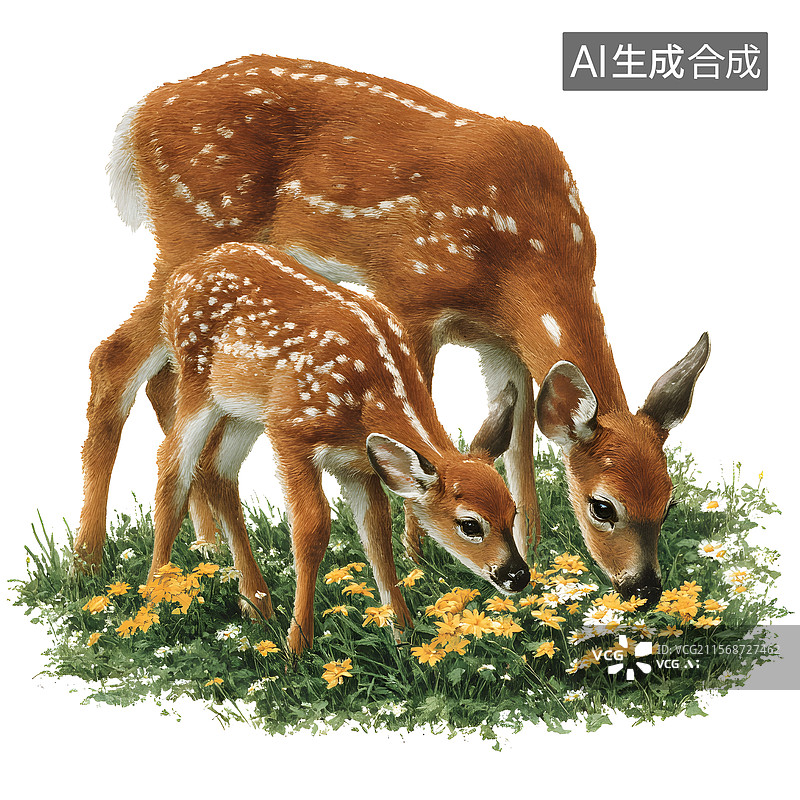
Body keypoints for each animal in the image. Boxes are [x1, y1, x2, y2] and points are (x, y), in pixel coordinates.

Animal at [74, 53, 709, 608]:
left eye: (668, 503)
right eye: (604, 506)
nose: (644, 588)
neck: (523, 252)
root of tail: (135, 118)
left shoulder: (500, 342)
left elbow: (521, 443)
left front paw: (534, 553)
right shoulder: (410, 298)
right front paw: (418, 563)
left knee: (162, 380)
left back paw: (204, 553)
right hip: (197, 229)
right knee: (113, 358)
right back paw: (91, 562)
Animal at [150, 241, 528, 653]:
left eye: (513, 512)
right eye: (469, 524)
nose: (518, 575)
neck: (367, 399)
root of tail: (179, 277)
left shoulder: (357, 463)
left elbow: (376, 533)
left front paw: (402, 635)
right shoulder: (290, 430)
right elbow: (312, 528)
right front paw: (297, 646)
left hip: (242, 410)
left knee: (215, 467)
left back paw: (255, 604)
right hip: (196, 381)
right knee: (171, 464)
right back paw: (156, 598)